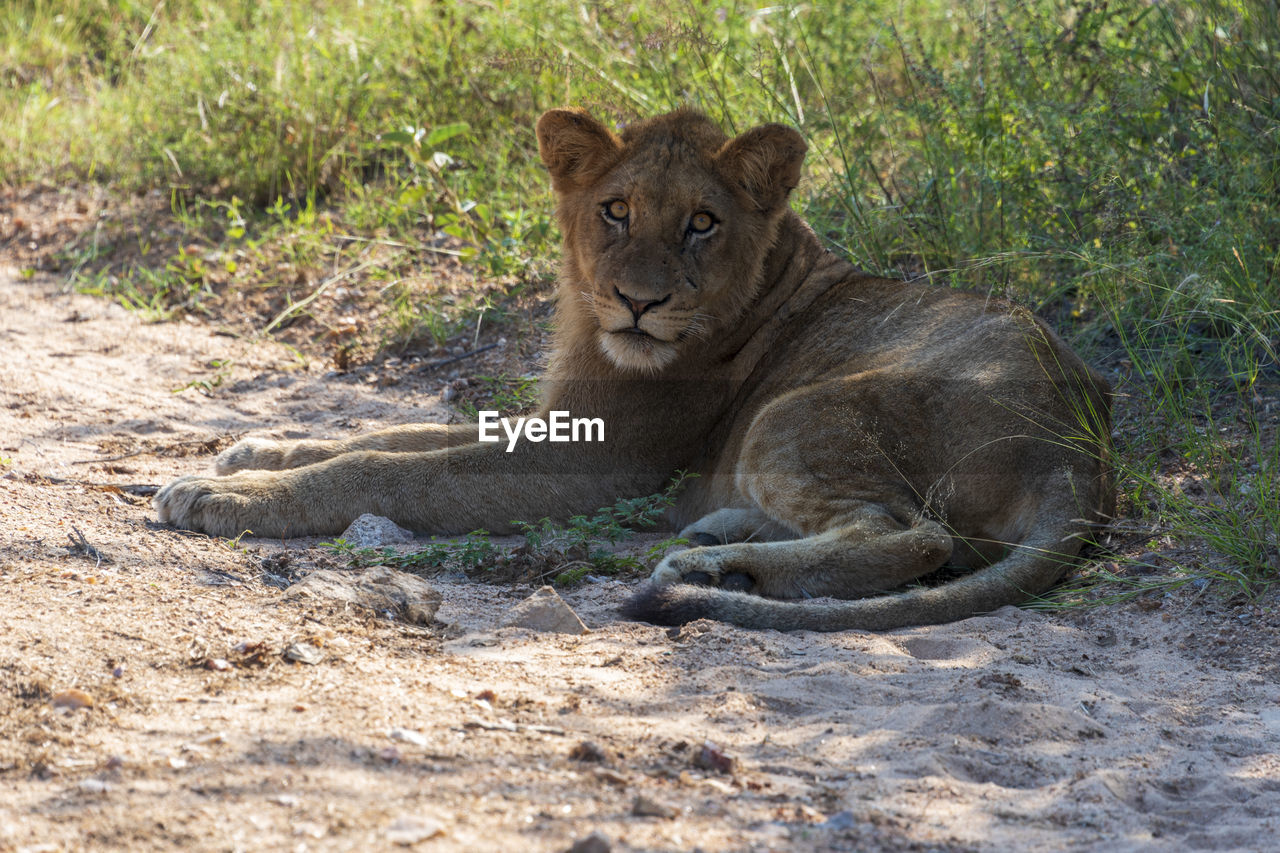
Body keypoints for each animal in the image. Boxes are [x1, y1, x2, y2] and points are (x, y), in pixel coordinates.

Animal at [154, 106, 1116, 627]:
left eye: (702, 222)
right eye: (615, 209)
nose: (638, 303)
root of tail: (1082, 450)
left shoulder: (597, 457)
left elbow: (387, 467)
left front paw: (223, 495)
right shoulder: (560, 410)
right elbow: (391, 433)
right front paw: (255, 451)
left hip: (799, 412)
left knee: (913, 536)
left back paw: (712, 571)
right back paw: (717, 539)